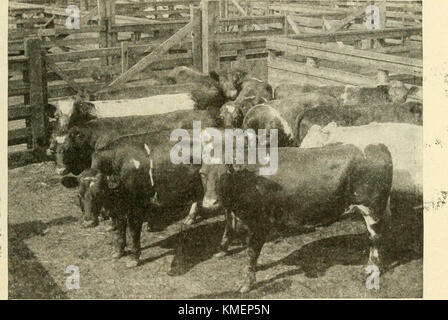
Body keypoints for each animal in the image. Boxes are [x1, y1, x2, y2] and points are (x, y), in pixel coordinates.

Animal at [198, 144, 394, 292]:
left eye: (225, 174)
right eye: (202, 173)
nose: (209, 203)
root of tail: (379, 147)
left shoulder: (259, 224)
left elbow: (252, 253)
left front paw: (247, 284)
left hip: (372, 207)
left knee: (376, 238)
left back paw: (373, 270)